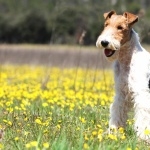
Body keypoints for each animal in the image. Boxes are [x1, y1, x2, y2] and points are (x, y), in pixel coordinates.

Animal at [96, 10, 150, 142]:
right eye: (106, 25)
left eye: (120, 27)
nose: (104, 42)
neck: (127, 60)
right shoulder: (121, 93)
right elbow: (117, 112)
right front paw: (113, 132)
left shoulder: (141, 94)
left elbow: (143, 117)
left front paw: (143, 137)